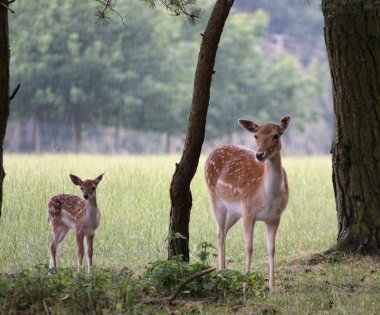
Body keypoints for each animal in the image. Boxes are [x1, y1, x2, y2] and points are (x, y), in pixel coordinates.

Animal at [205, 116, 290, 292]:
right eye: (256, 136)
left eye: (276, 135)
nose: (259, 155)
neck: (267, 196)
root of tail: (211, 152)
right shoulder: (248, 211)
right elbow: (249, 247)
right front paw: (245, 286)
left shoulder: (275, 217)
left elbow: (272, 249)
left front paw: (273, 287)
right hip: (215, 197)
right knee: (219, 233)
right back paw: (221, 273)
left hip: (234, 211)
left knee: (223, 232)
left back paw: (225, 272)